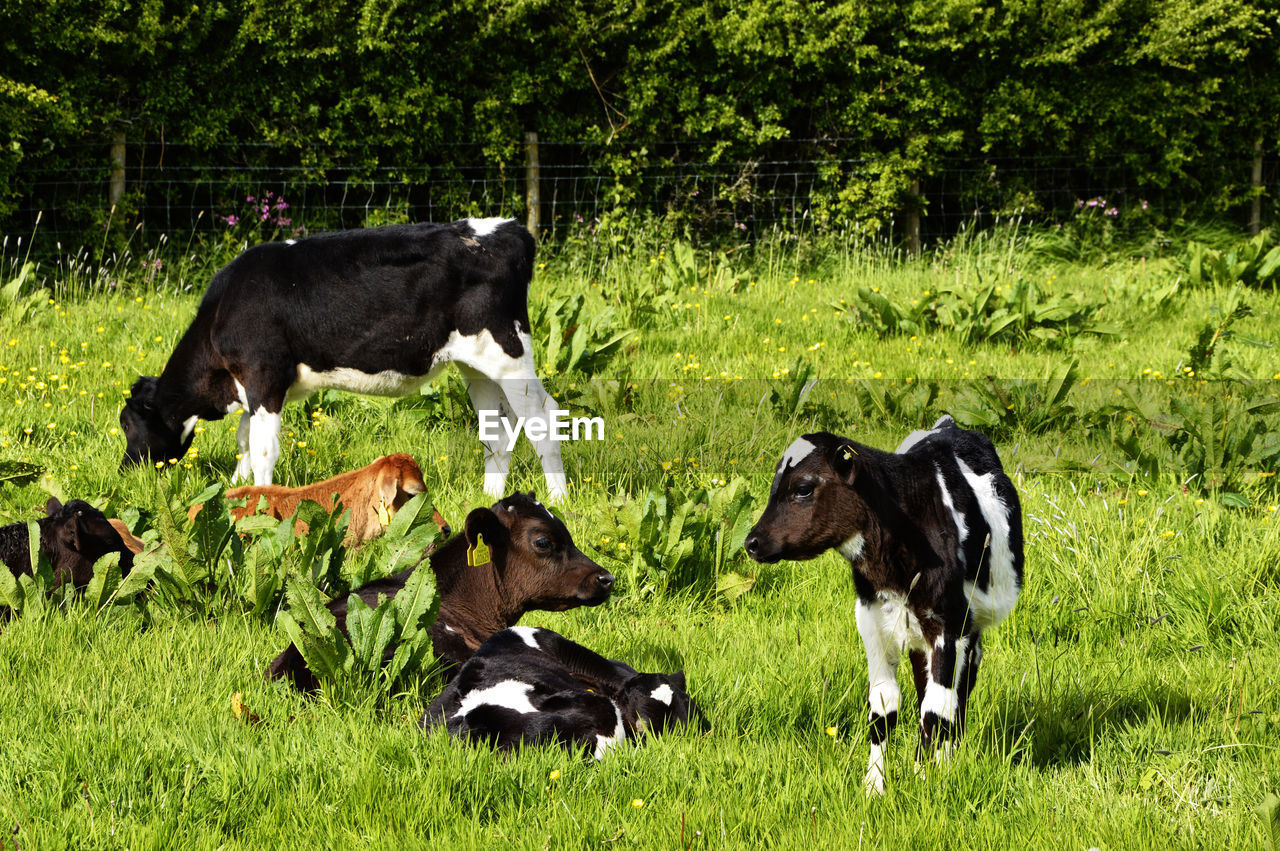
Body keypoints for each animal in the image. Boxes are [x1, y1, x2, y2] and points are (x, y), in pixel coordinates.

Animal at [120, 217, 570, 499]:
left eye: (128, 424)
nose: (125, 471)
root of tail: (509, 229)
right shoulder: (250, 386)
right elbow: (244, 441)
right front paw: (237, 491)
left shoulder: (264, 376)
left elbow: (262, 449)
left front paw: (261, 501)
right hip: (476, 365)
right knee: (497, 430)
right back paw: (489, 497)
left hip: (509, 352)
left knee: (542, 418)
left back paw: (558, 499)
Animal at [747, 414, 1024, 793]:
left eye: (803, 488)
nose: (752, 542)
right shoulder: (871, 616)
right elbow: (883, 708)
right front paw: (874, 788)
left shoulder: (948, 624)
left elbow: (938, 711)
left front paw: (930, 783)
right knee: (927, 688)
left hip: (971, 626)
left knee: (958, 691)